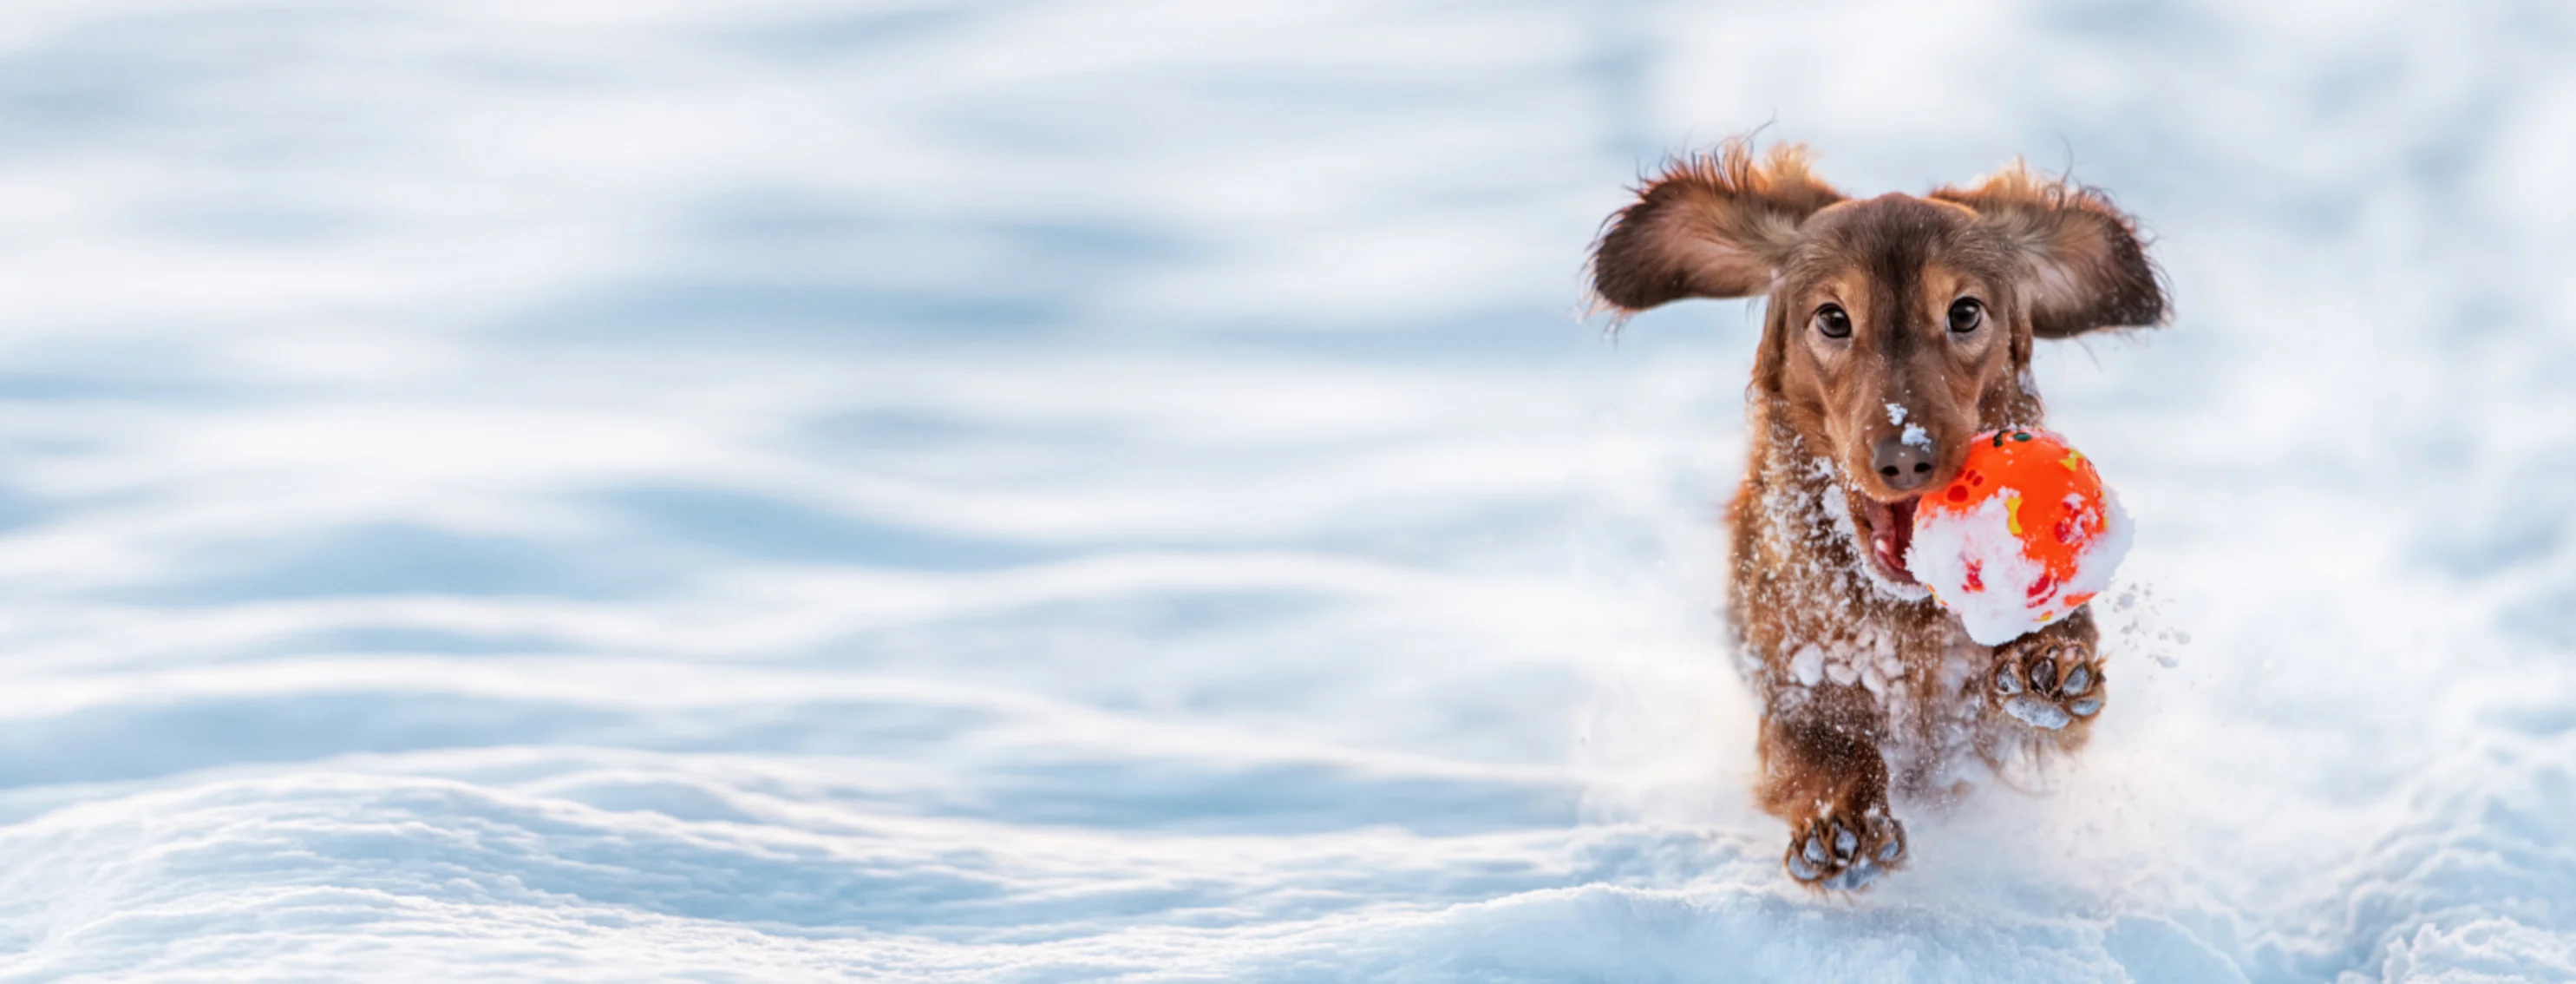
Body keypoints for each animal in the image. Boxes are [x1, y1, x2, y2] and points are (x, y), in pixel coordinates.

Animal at [1586, 140, 2153, 891]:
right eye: (1833, 318)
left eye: (1965, 313)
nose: (1905, 456)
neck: (1900, 620)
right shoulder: (1790, 677)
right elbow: (1818, 743)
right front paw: (1842, 821)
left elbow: (2053, 678)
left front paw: (2046, 661)